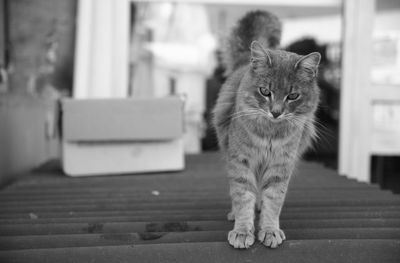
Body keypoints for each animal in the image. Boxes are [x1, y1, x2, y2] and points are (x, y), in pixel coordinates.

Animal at [212, 10, 322, 250]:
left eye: (293, 96)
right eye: (265, 91)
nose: (276, 112)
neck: (270, 132)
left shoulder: (281, 165)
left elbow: (273, 201)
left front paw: (270, 230)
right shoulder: (240, 162)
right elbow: (242, 196)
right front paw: (242, 231)